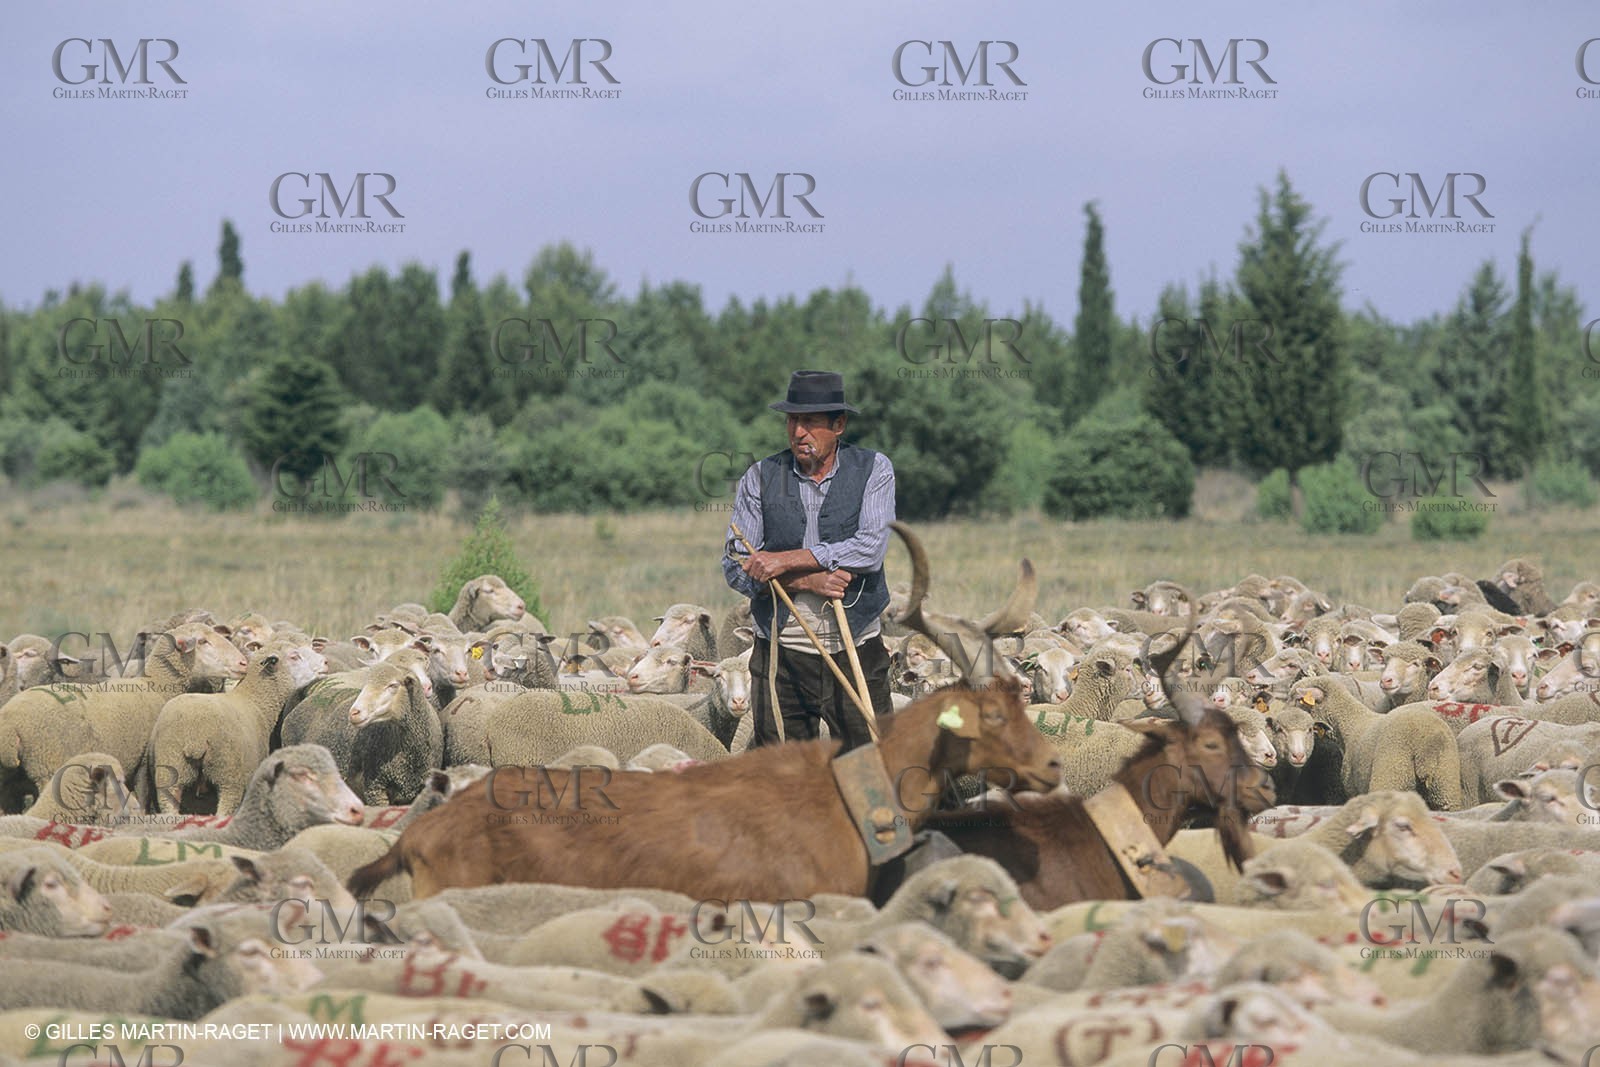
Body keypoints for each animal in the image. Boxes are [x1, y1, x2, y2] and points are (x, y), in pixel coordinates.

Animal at [0, 622, 248, 813]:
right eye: (203, 641)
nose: (243, 663)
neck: (156, 686)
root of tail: (11, 725)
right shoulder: (143, 765)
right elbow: (145, 800)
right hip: (47, 767)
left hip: (9, 783)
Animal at [148, 638, 326, 815]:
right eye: (294, 656)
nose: (325, 662)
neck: (254, 701)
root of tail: (195, 735)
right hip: (229, 777)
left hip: (170, 768)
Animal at [1291, 677, 1463, 809]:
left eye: (1296, 699)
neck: (1350, 725)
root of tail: (1426, 747)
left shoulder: (1353, 789)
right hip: (1445, 787)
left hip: (1391, 776)